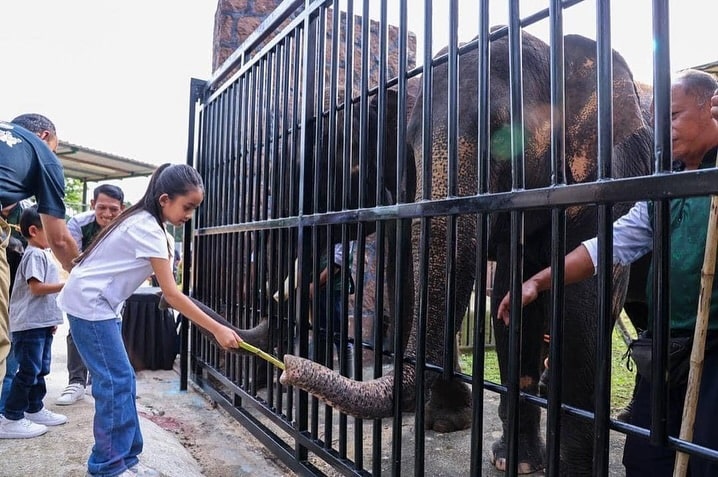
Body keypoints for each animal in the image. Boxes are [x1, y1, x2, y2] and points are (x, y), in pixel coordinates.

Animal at [282, 27, 660, 474]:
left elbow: (585, 298)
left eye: (504, 134)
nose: (286, 368)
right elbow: (504, 297)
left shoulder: (609, 174)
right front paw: (490, 448)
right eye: (411, 142)